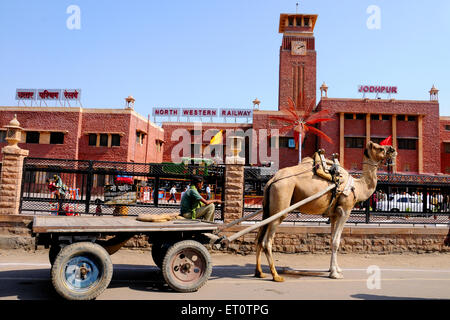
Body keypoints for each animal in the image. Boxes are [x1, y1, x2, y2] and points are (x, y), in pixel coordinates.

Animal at [255, 141, 396, 282]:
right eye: (380, 148)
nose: (393, 150)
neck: (357, 187)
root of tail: (272, 180)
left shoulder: (334, 215)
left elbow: (332, 238)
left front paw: (334, 269)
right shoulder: (345, 211)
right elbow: (336, 241)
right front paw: (335, 274)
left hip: (268, 208)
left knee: (259, 238)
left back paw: (259, 272)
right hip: (281, 202)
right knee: (267, 241)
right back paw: (276, 275)